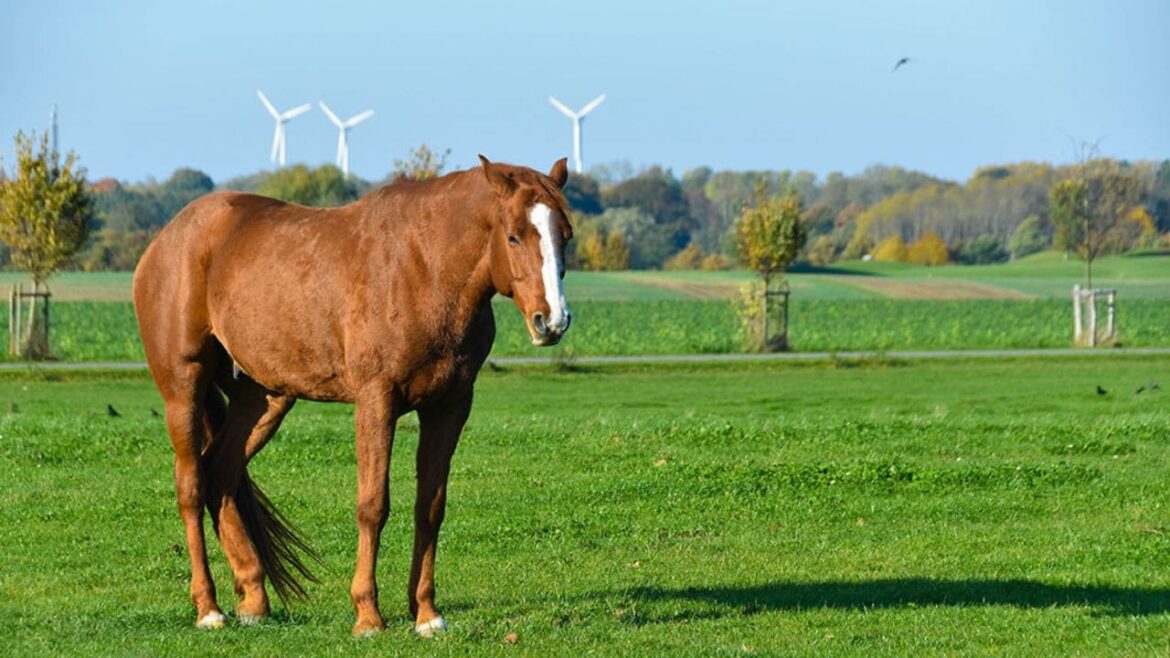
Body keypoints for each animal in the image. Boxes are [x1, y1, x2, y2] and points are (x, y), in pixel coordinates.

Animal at [132, 156, 572, 637]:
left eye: (564, 236)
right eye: (513, 235)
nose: (552, 321)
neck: (424, 268)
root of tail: (168, 238)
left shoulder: (449, 407)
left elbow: (430, 507)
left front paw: (426, 613)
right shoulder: (377, 401)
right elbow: (372, 505)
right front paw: (368, 614)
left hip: (264, 398)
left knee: (221, 475)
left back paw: (253, 600)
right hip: (183, 387)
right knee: (191, 486)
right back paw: (209, 608)